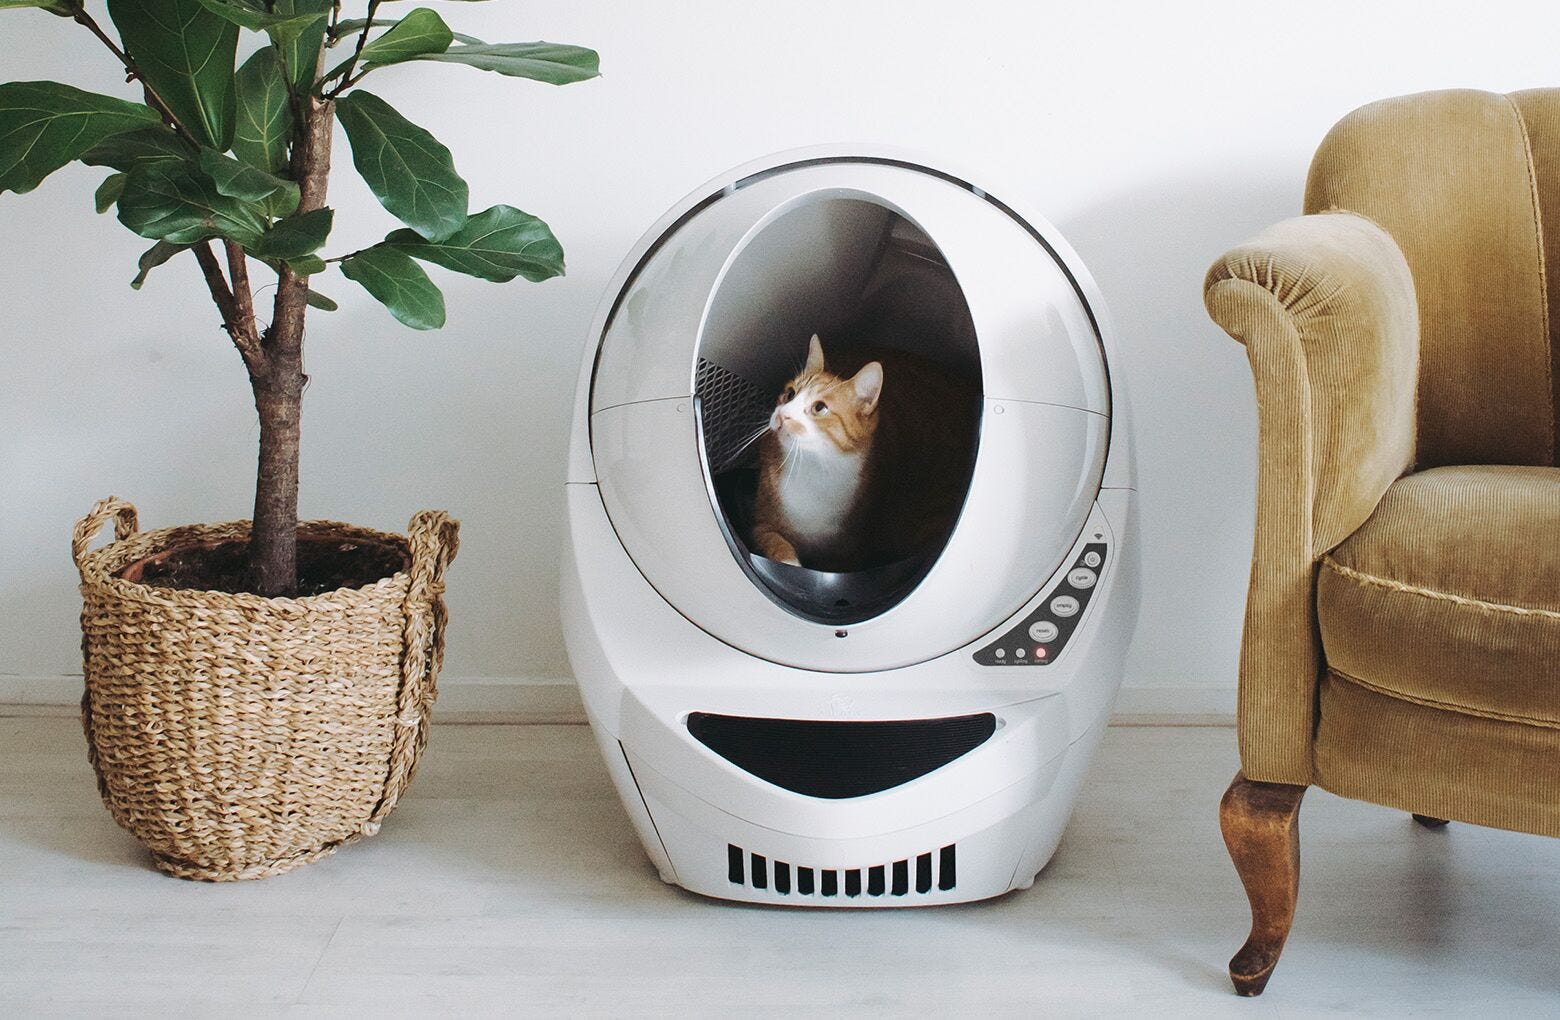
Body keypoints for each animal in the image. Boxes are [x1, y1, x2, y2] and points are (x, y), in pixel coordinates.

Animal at [751, 335, 973, 573]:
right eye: (790, 394)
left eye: (819, 408)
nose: (782, 414)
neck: (814, 467)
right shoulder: (762, 524)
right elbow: (775, 541)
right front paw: (790, 562)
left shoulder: (848, 552)